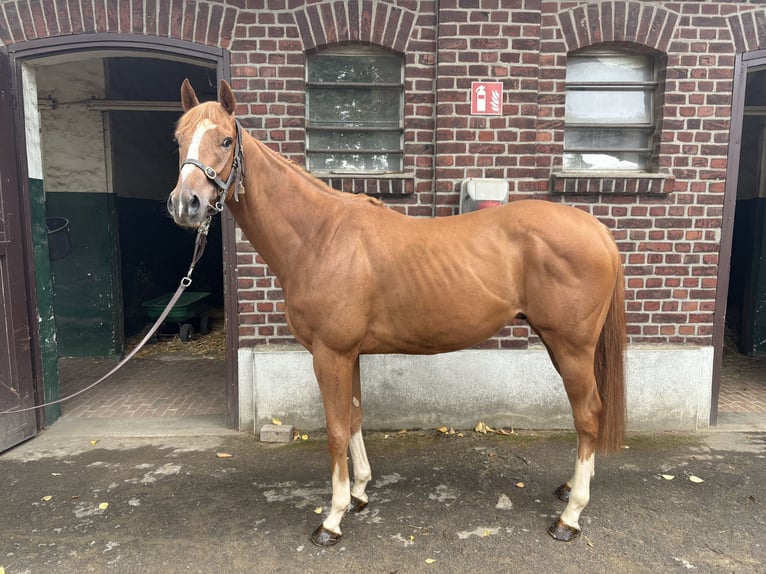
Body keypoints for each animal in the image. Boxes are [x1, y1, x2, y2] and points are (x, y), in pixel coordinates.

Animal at [168, 79, 627, 546]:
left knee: (588, 414)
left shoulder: (330, 354)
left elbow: (336, 430)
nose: (185, 204)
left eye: (226, 140)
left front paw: (332, 518)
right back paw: (569, 489)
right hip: (559, 344)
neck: (319, 236)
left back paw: (570, 516)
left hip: (571, 346)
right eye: (179, 139)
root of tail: (598, 231)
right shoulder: (348, 354)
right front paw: (358, 493)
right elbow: (354, 417)